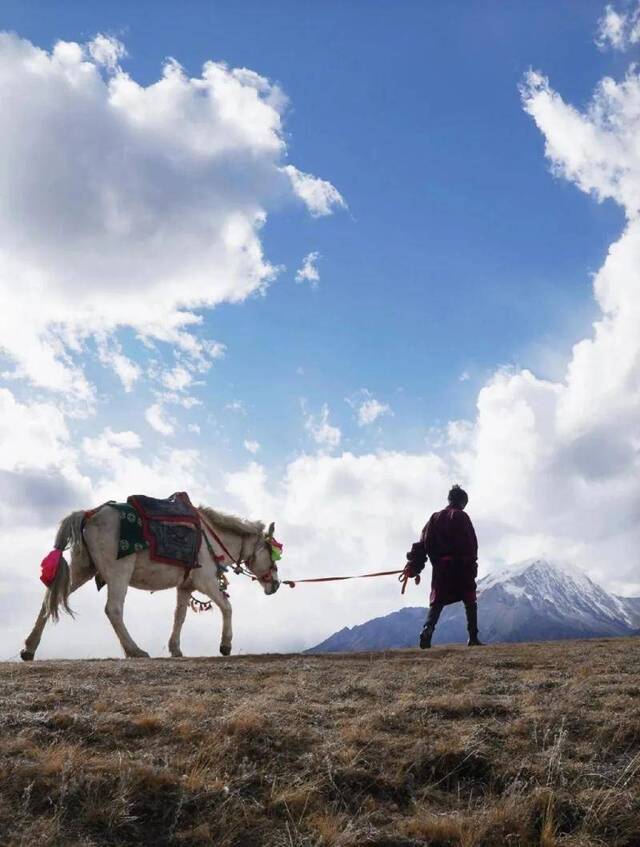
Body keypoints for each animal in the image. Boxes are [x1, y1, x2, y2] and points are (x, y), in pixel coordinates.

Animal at [21, 504, 280, 664]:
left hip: (82, 570)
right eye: (273, 553)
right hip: (118, 573)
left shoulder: (185, 586)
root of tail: (88, 514)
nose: (276, 585)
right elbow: (227, 607)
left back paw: (29, 649)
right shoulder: (205, 581)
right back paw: (134, 650)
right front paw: (225, 645)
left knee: (49, 600)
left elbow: (179, 617)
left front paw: (176, 649)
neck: (212, 539)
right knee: (113, 609)